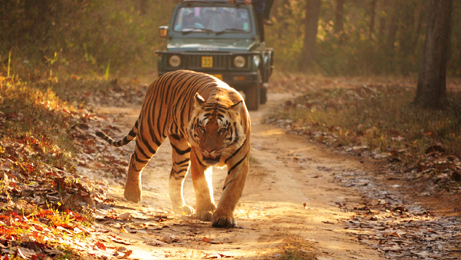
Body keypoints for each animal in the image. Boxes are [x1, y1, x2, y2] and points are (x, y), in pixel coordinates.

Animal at [95, 69, 250, 228]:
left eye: (222, 130)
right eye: (202, 128)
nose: (208, 149)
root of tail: (158, 79)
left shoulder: (240, 163)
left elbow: (231, 191)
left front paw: (223, 217)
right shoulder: (198, 158)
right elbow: (203, 186)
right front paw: (205, 211)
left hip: (181, 150)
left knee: (174, 176)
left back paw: (180, 207)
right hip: (150, 134)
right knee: (135, 159)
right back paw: (132, 194)